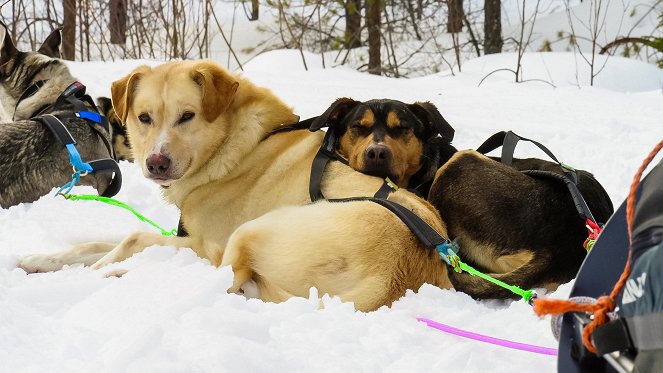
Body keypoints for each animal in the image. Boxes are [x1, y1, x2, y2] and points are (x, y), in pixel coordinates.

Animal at [16, 60, 452, 310]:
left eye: (187, 115)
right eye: (144, 117)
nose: (156, 163)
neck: (235, 147)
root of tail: (392, 280)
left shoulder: (203, 245)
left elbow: (130, 239)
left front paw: (93, 273)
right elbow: (93, 243)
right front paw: (42, 260)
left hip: (249, 232)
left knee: (223, 279)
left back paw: (129, 277)